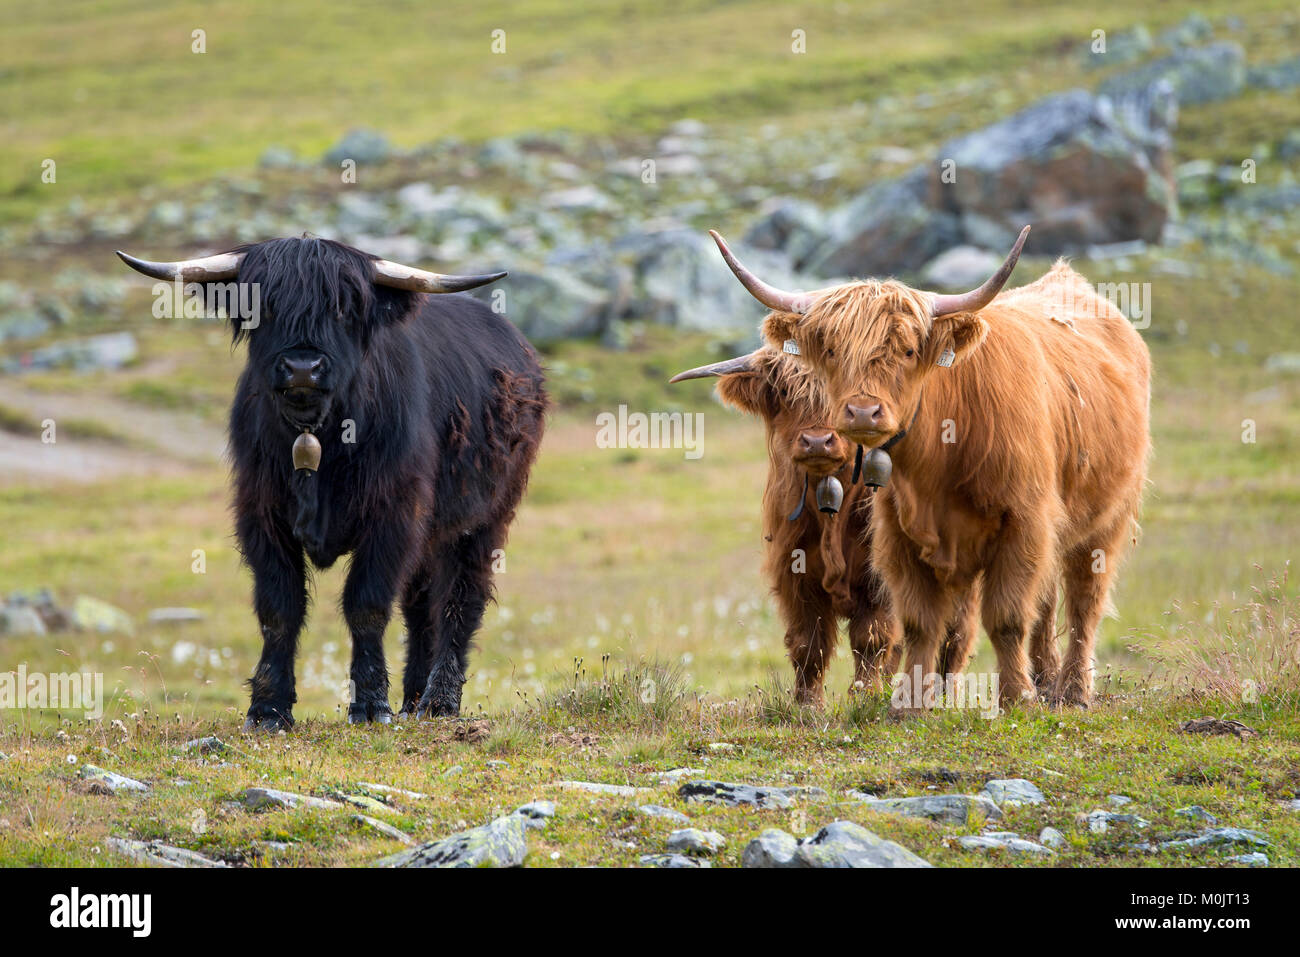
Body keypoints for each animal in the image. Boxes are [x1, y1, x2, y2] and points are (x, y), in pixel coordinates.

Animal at [119, 237, 546, 722]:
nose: (303, 367)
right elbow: (279, 607)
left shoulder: (394, 515)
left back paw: (439, 703)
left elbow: (366, 603)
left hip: (486, 516)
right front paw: (268, 708)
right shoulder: (261, 514)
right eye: (265, 305)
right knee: (420, 606)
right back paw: (413, 701)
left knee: (460, 599)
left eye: (343, 309)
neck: (318, 435)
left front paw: (371, 704)